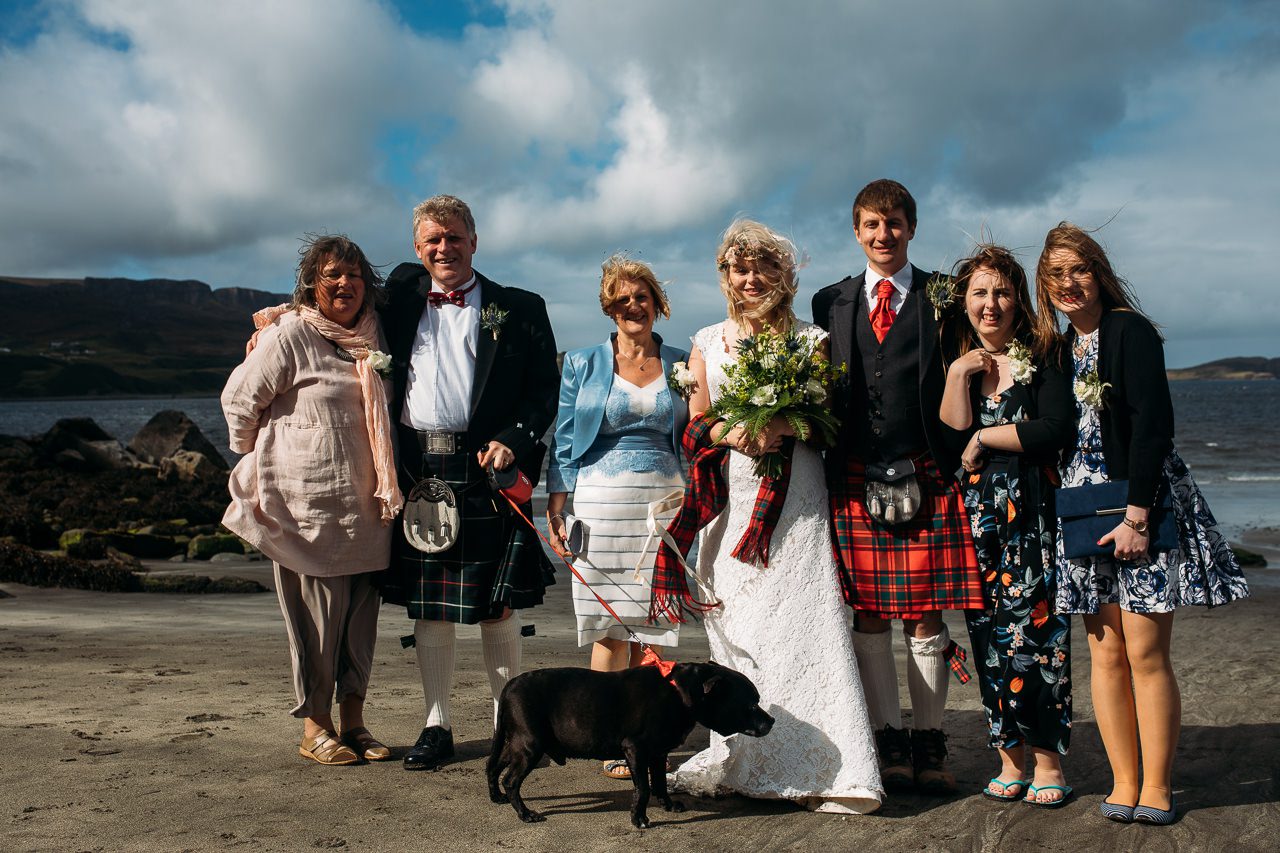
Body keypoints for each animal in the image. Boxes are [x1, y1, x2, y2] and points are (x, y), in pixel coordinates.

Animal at [486, 655, 768, 824]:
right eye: (751, 705)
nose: (772, 721)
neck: (679, 692)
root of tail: (510, 685)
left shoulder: (658, 753)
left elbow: (659, 784)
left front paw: (668, 806)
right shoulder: (636, 750)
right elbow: (643, 788)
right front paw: (639, 818)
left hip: (514, 745)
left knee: (492, 768)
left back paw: (496, 797)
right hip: (529, 747)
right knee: (511, 781)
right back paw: (525, 814)